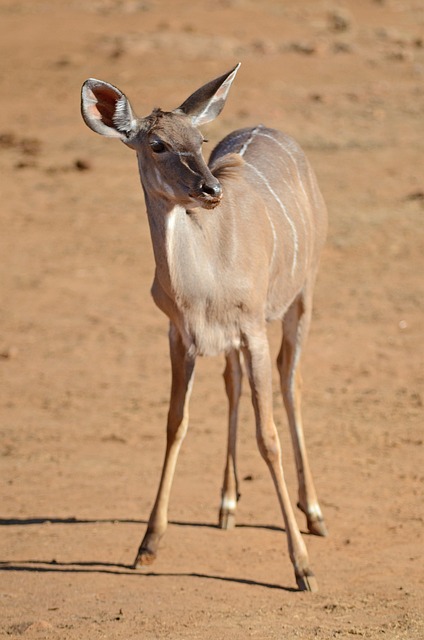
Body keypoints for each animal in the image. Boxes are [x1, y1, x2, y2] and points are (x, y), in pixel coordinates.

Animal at [82, 63, 328, 592]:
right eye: (156, 144)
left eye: (200, 139)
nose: (210, 191)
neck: (202, 284)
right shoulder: (181, 336)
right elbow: (176, 423)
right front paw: (147, 545)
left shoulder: (253, 328)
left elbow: (268, 436)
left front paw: (302, 567)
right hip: (235, 340)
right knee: (232, 383)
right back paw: (227, 504)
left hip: (302, 295)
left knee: (291, 380)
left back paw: (315, 513)